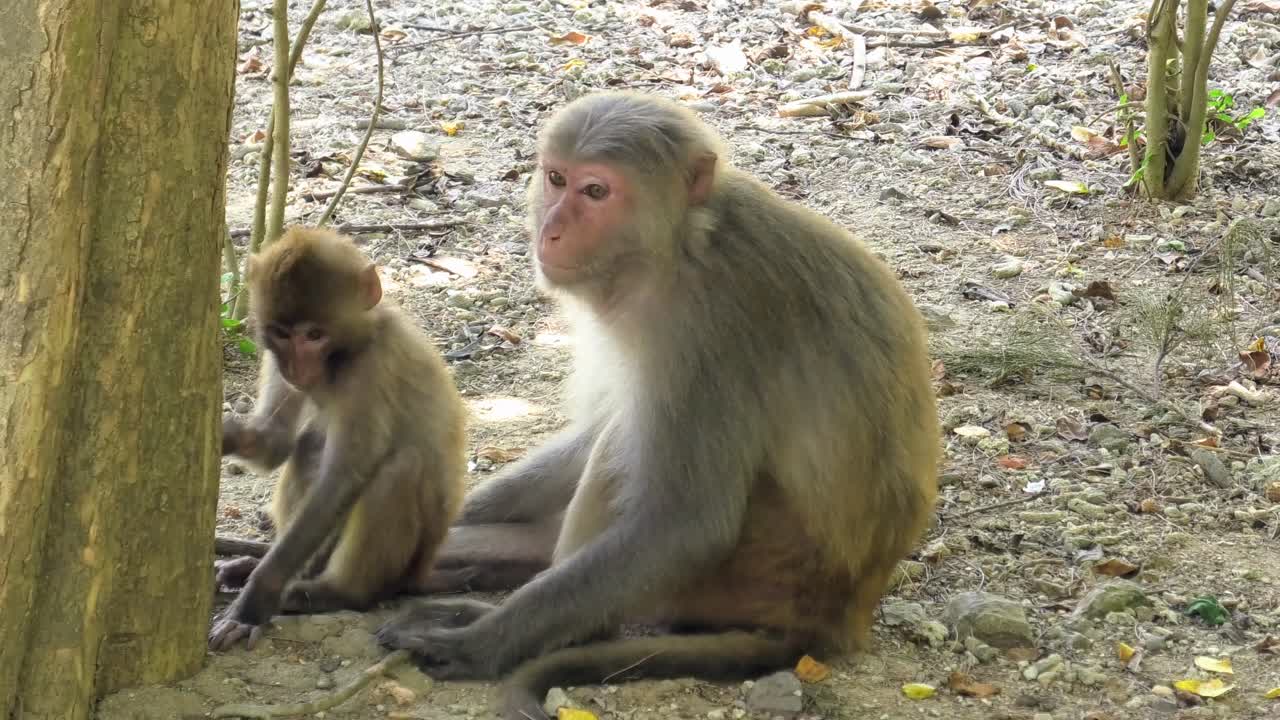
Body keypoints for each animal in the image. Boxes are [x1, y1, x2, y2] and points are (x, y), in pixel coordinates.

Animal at [209, 226, 466, 650]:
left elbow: (343, 478)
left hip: (410, 561)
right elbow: (275, 442)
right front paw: (223, 435)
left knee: (400, 467)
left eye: (314, 334)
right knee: (306, 449)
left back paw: (337, 592)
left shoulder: (372, 371)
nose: (297, 368)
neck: (345, 355)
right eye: (282, 334)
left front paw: (255, 601)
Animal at [375, 90, 940, 719]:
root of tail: (838, 617)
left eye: (596, 192)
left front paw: (480, 644)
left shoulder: (707, 328)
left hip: (757, 569)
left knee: (627, 455)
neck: (681, 247)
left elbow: (686, 523)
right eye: (557, 178)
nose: (551, 231)